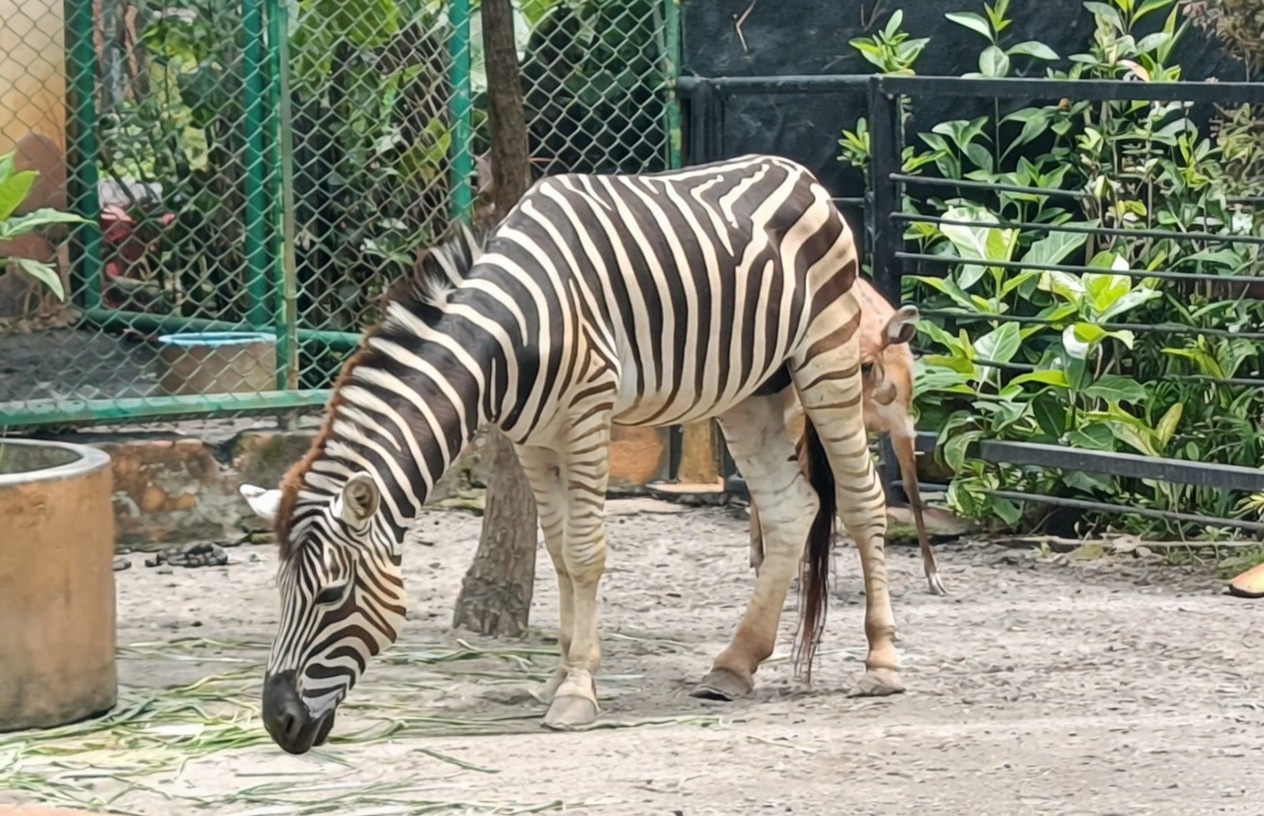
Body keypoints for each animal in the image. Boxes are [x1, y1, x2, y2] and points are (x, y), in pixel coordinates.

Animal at [240, 154, 903, 754]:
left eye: (331, 595)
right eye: (279, 591)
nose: (278, 723)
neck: (504, 339)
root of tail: (799, 173)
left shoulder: (587, 416)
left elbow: (584, 555)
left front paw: (578, 691)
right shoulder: (531, 440)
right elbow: (557, 554)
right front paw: (557, 676)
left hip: (827, 358)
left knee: (862, 500)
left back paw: (881, 663)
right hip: (752, 391)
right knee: (792, 509)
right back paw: (733, 666)